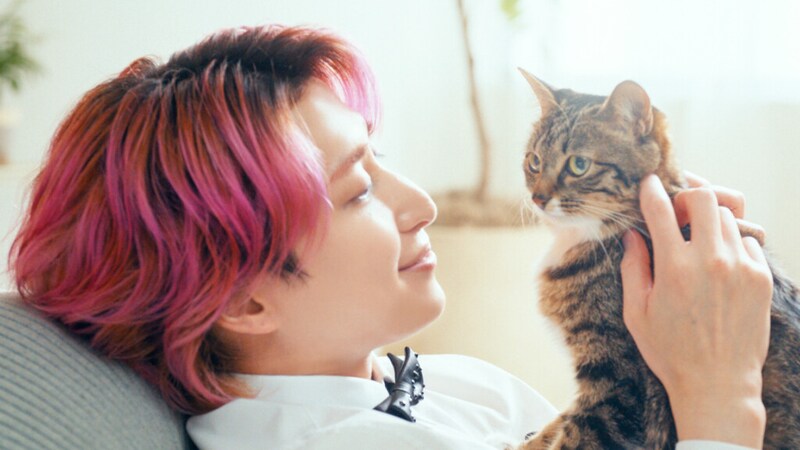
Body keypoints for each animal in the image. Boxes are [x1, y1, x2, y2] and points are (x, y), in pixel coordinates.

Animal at [516, 69, 800, 449]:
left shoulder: (620, 387)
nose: (537, 197)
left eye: (578, 165)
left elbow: (576, 435)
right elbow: (558, 424)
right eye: (534, 161)